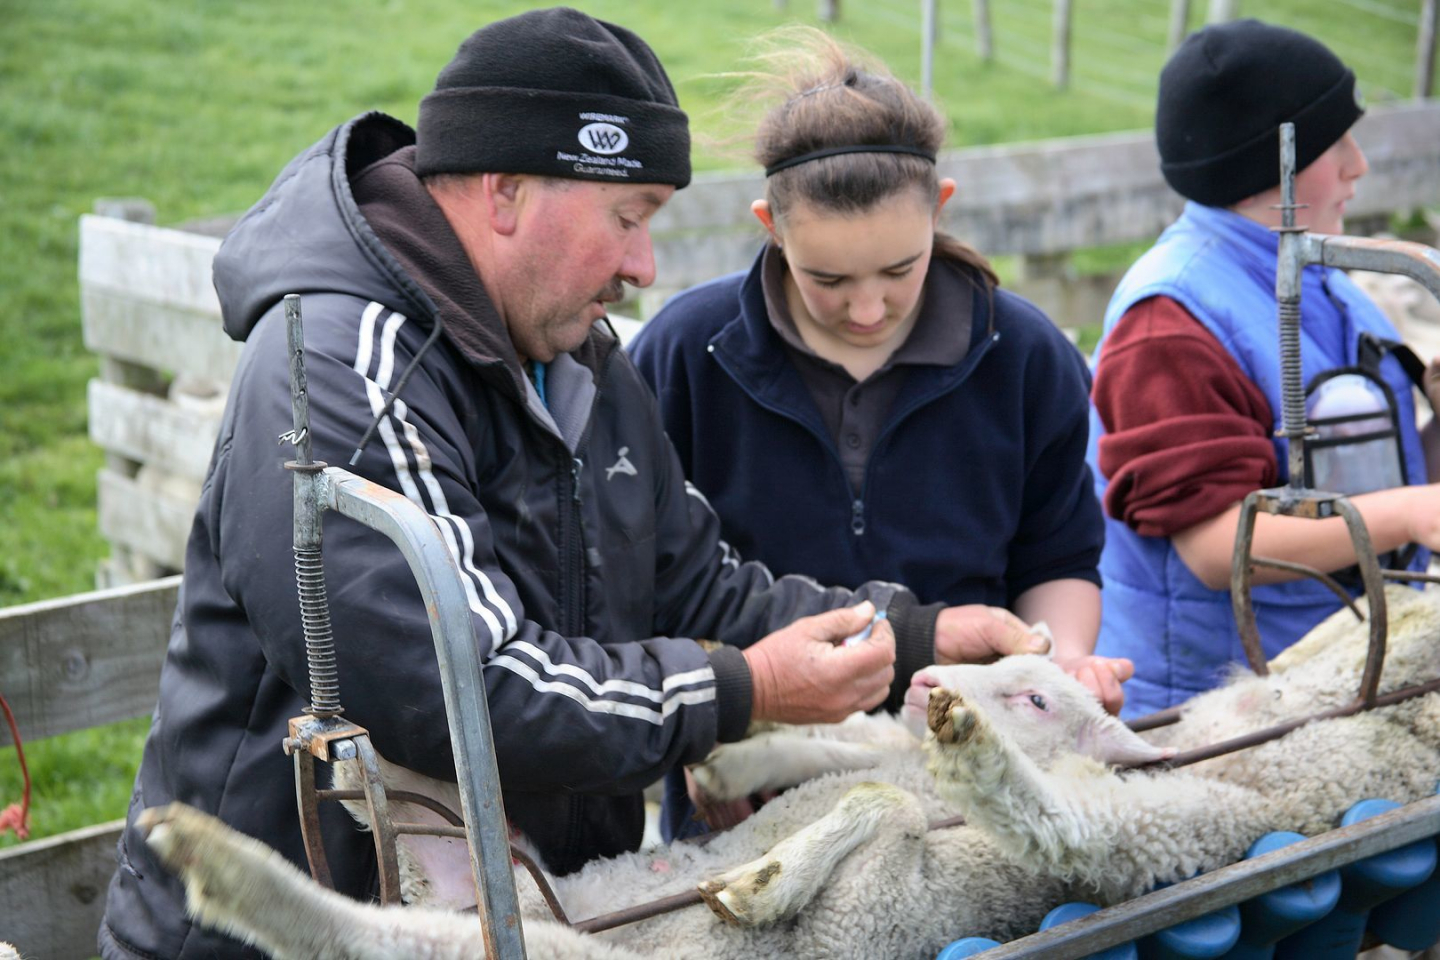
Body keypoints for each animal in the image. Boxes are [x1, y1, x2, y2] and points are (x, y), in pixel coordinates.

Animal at [140, 587, 1440, 960]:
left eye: (1039, 696)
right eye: (1010, 663)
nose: (936, 682)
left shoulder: (1119, 826)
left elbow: (887, 796)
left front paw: (759, 881)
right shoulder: (878, 743)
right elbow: (843, 748)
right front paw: (740, 752)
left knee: (362, 937)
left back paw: (228, 862)